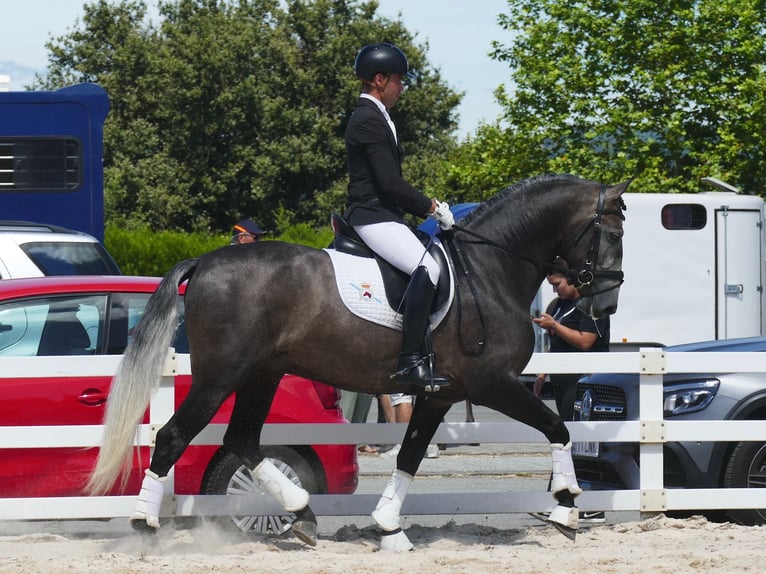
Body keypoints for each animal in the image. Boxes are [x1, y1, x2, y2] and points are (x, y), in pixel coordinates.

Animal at [88, 174, 629, 550]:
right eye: (611, 232)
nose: (605, 305)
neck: (489, 269)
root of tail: (205, 261)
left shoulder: (441, 394)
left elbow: (410, 456)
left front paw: (390, 529)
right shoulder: (492, 383)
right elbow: (557, 426)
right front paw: (566, 509)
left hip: (262, 373)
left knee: (241, 439)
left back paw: (303, 515)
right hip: (220, 376)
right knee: (173, 436)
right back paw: (145, 526)